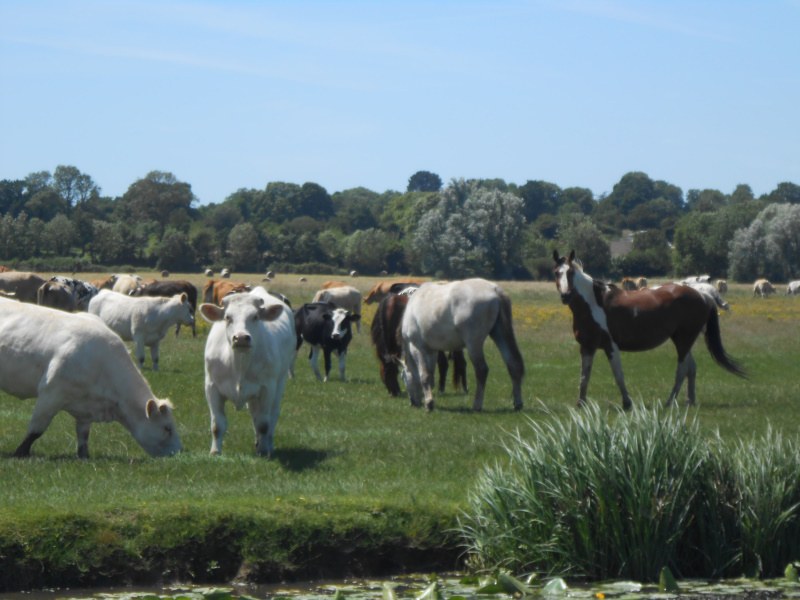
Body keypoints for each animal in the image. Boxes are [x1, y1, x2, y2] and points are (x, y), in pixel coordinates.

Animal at [0, 298, 181, 458]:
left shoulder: (85, 410)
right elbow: (36, 430)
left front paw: (84, 455)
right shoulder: (51, 394)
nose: (179, 453)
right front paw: (20, 453)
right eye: (167, 428)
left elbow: (83, 436)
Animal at [199, 288, 296, 456]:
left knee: (272, 416)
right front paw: (215, 451)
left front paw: (263, 451)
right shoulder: (211, 387)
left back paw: (267, 444)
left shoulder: (267, 388)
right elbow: (217, 424)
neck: (239, 364)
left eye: (255, 317)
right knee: (254, 415)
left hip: (280, 382)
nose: (241, 338)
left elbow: (263, 423)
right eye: (227, 317)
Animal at [400, 279, 524, 411]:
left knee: (482, 370)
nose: (412, 402)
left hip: (473, 344)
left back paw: (477, 405)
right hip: (500, 334)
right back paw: (518, 403)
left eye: (403, 378)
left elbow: (424, 375)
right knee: (513, 364)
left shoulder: (417, 347)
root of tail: (494, 289)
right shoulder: (431, 351)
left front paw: (429, 403)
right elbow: (431, 374)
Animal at [553, 250, 745, 409]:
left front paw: (627, 403)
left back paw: (670, 401)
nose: (565, 296)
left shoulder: (610, 346)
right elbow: (584, 377)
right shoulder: (587, 347)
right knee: (691, 368)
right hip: (683, 340)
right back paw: (689, 400)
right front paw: (581, 403)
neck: (594, 302)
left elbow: (618, 375)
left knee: (682, 369)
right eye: (556, 272)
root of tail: (702, 294)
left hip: (683, 341)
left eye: (570, 273)